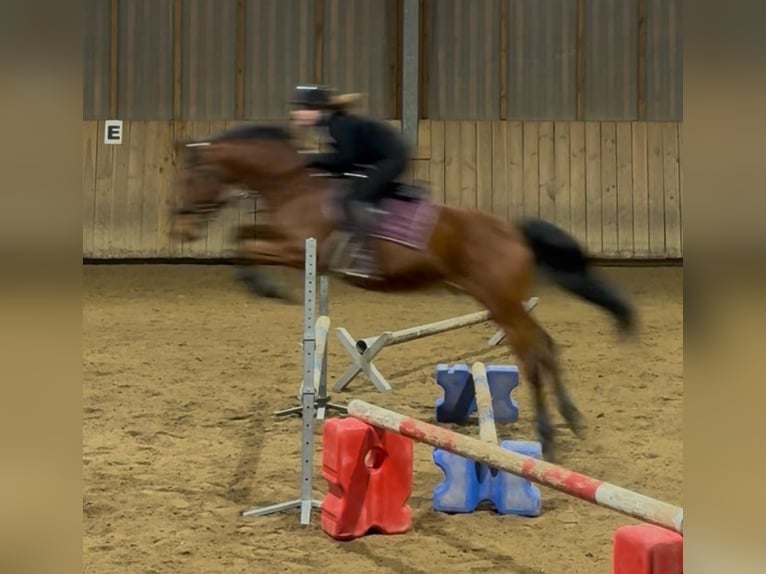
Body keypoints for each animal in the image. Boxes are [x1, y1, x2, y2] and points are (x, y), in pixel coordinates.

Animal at [169, 122, 638, 462]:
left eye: (195, 176)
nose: (182, 230)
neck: (292, 184)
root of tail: (513, 231)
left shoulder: (296, 249)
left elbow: (243, 245)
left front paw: (263, 286)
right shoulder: (284, 239)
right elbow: (243, 236)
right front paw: (258, 281)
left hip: (500, 302)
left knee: (532, 354)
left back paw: (549, 435)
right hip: (503, 303)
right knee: (545, 344)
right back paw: (571, 420)